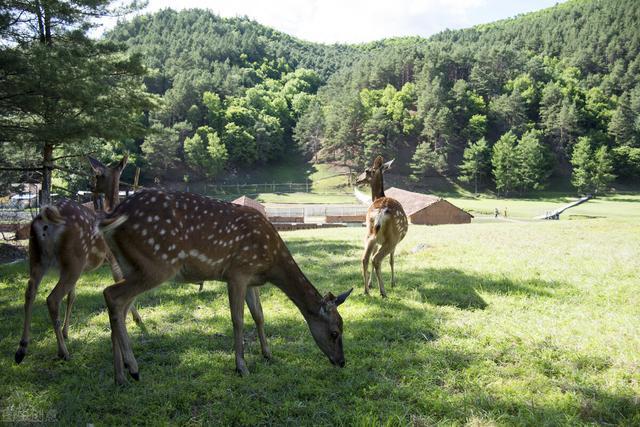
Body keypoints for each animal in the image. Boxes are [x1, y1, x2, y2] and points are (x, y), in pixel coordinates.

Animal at [13, 156, 142, 364]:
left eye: (98, 175)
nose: (92, 187)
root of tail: (45, 219)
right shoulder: (112, 257)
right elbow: (118, 281)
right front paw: (137, 319)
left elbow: (72, 296)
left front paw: (66, 332)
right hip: (75, 258)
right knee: (52, 299)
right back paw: (62, 352)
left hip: (38, 258)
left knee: (30, 291)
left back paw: (22, 348)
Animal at [97, 189, 352, 386]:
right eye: (334, 332)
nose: (342, 362)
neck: (271, 264)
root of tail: (113, 215)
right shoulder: (237, 272)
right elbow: (238, 319)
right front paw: (242, 367)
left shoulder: (251, 279)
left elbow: (259, 315)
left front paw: (267, 354)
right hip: (158, 263)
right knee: (111, 294)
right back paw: (133, 368)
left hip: (131, 265)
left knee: (118, 306)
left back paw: (120, 376)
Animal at [356, 156, 410, 298]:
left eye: (367, 170)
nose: (357, 179)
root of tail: (381, 212)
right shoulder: (395, 243)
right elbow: (392, 260)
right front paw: (393, 283)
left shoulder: (376, 240)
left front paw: (370, 284)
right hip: (392, 238)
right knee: (376, 259)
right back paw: (383, 291)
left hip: (369, 233)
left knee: (365, 258)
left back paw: (366, 291)